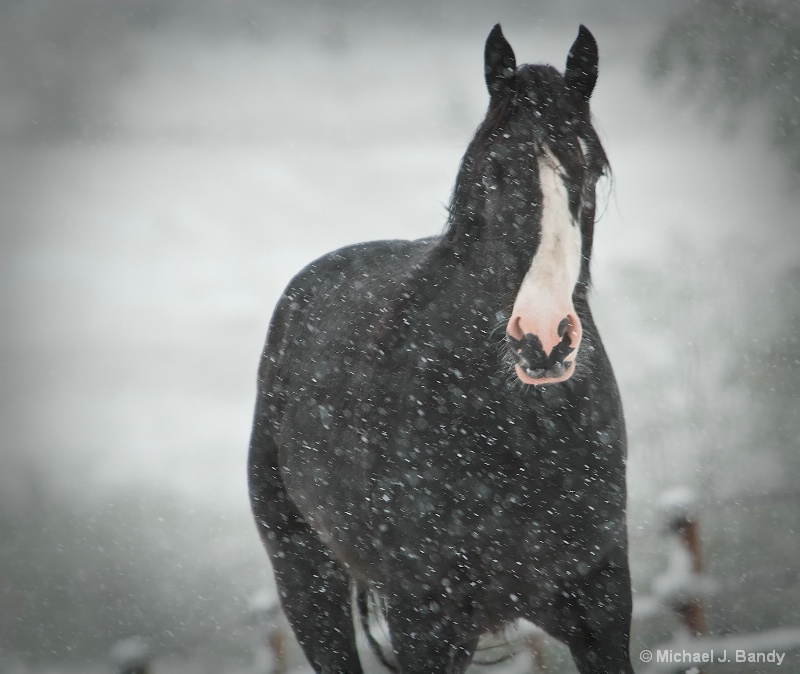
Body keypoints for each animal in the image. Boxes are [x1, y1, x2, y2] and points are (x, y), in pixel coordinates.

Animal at [248, 23, 632, 668]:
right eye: (497, 169)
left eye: (593, 171)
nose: (545, 338)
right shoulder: (425, 620)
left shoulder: (600, 608)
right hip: (306, 580)